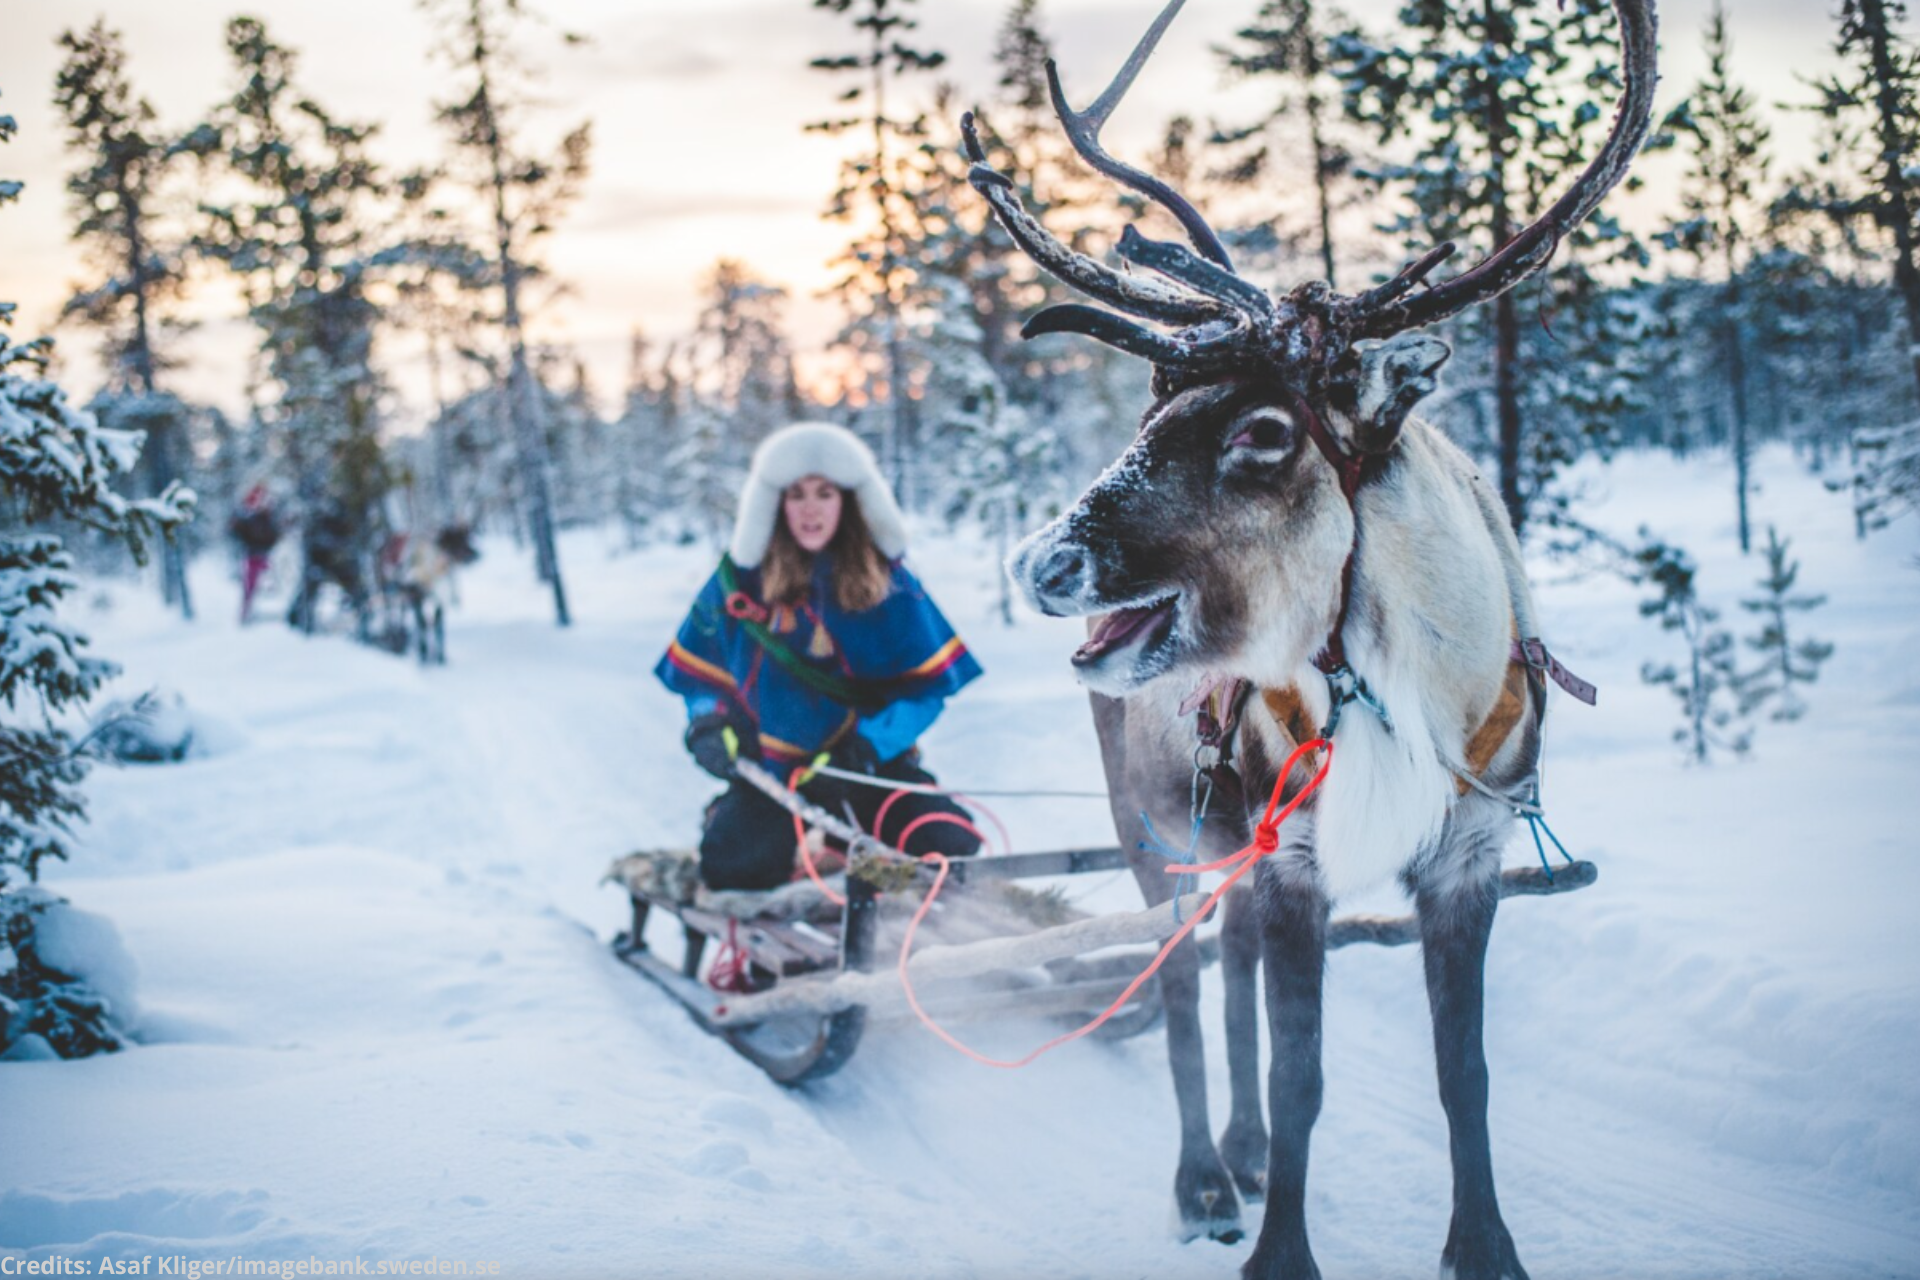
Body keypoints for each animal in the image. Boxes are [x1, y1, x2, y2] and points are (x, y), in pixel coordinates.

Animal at [964, 0, 1654, 1275]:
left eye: (1263, 431)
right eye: (1152, 410)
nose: (1042, 562)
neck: (1413, 689)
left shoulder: (1465, 858)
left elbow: (1464, 1075)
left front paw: (1486, 1245)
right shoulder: (1294, 858)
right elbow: (1304, 1077)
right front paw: (1278, 1249)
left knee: (1226, 966)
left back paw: (1233, 1152)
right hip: (1155, 829)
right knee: (1181, 987)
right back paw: (1203, 1177)